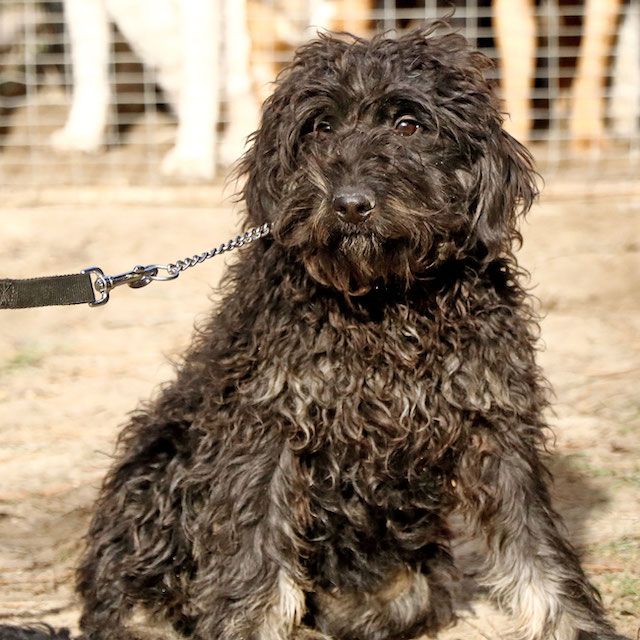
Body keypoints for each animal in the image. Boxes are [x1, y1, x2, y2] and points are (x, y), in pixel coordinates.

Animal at [1, 22, 632, 640]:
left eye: (408, 124)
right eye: (320, 126)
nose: (350, 204)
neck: (385, 305)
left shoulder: (494, 423)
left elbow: (539, 552)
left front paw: (579, 626)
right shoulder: (265, 430)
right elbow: (253, 560)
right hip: (164, 458)